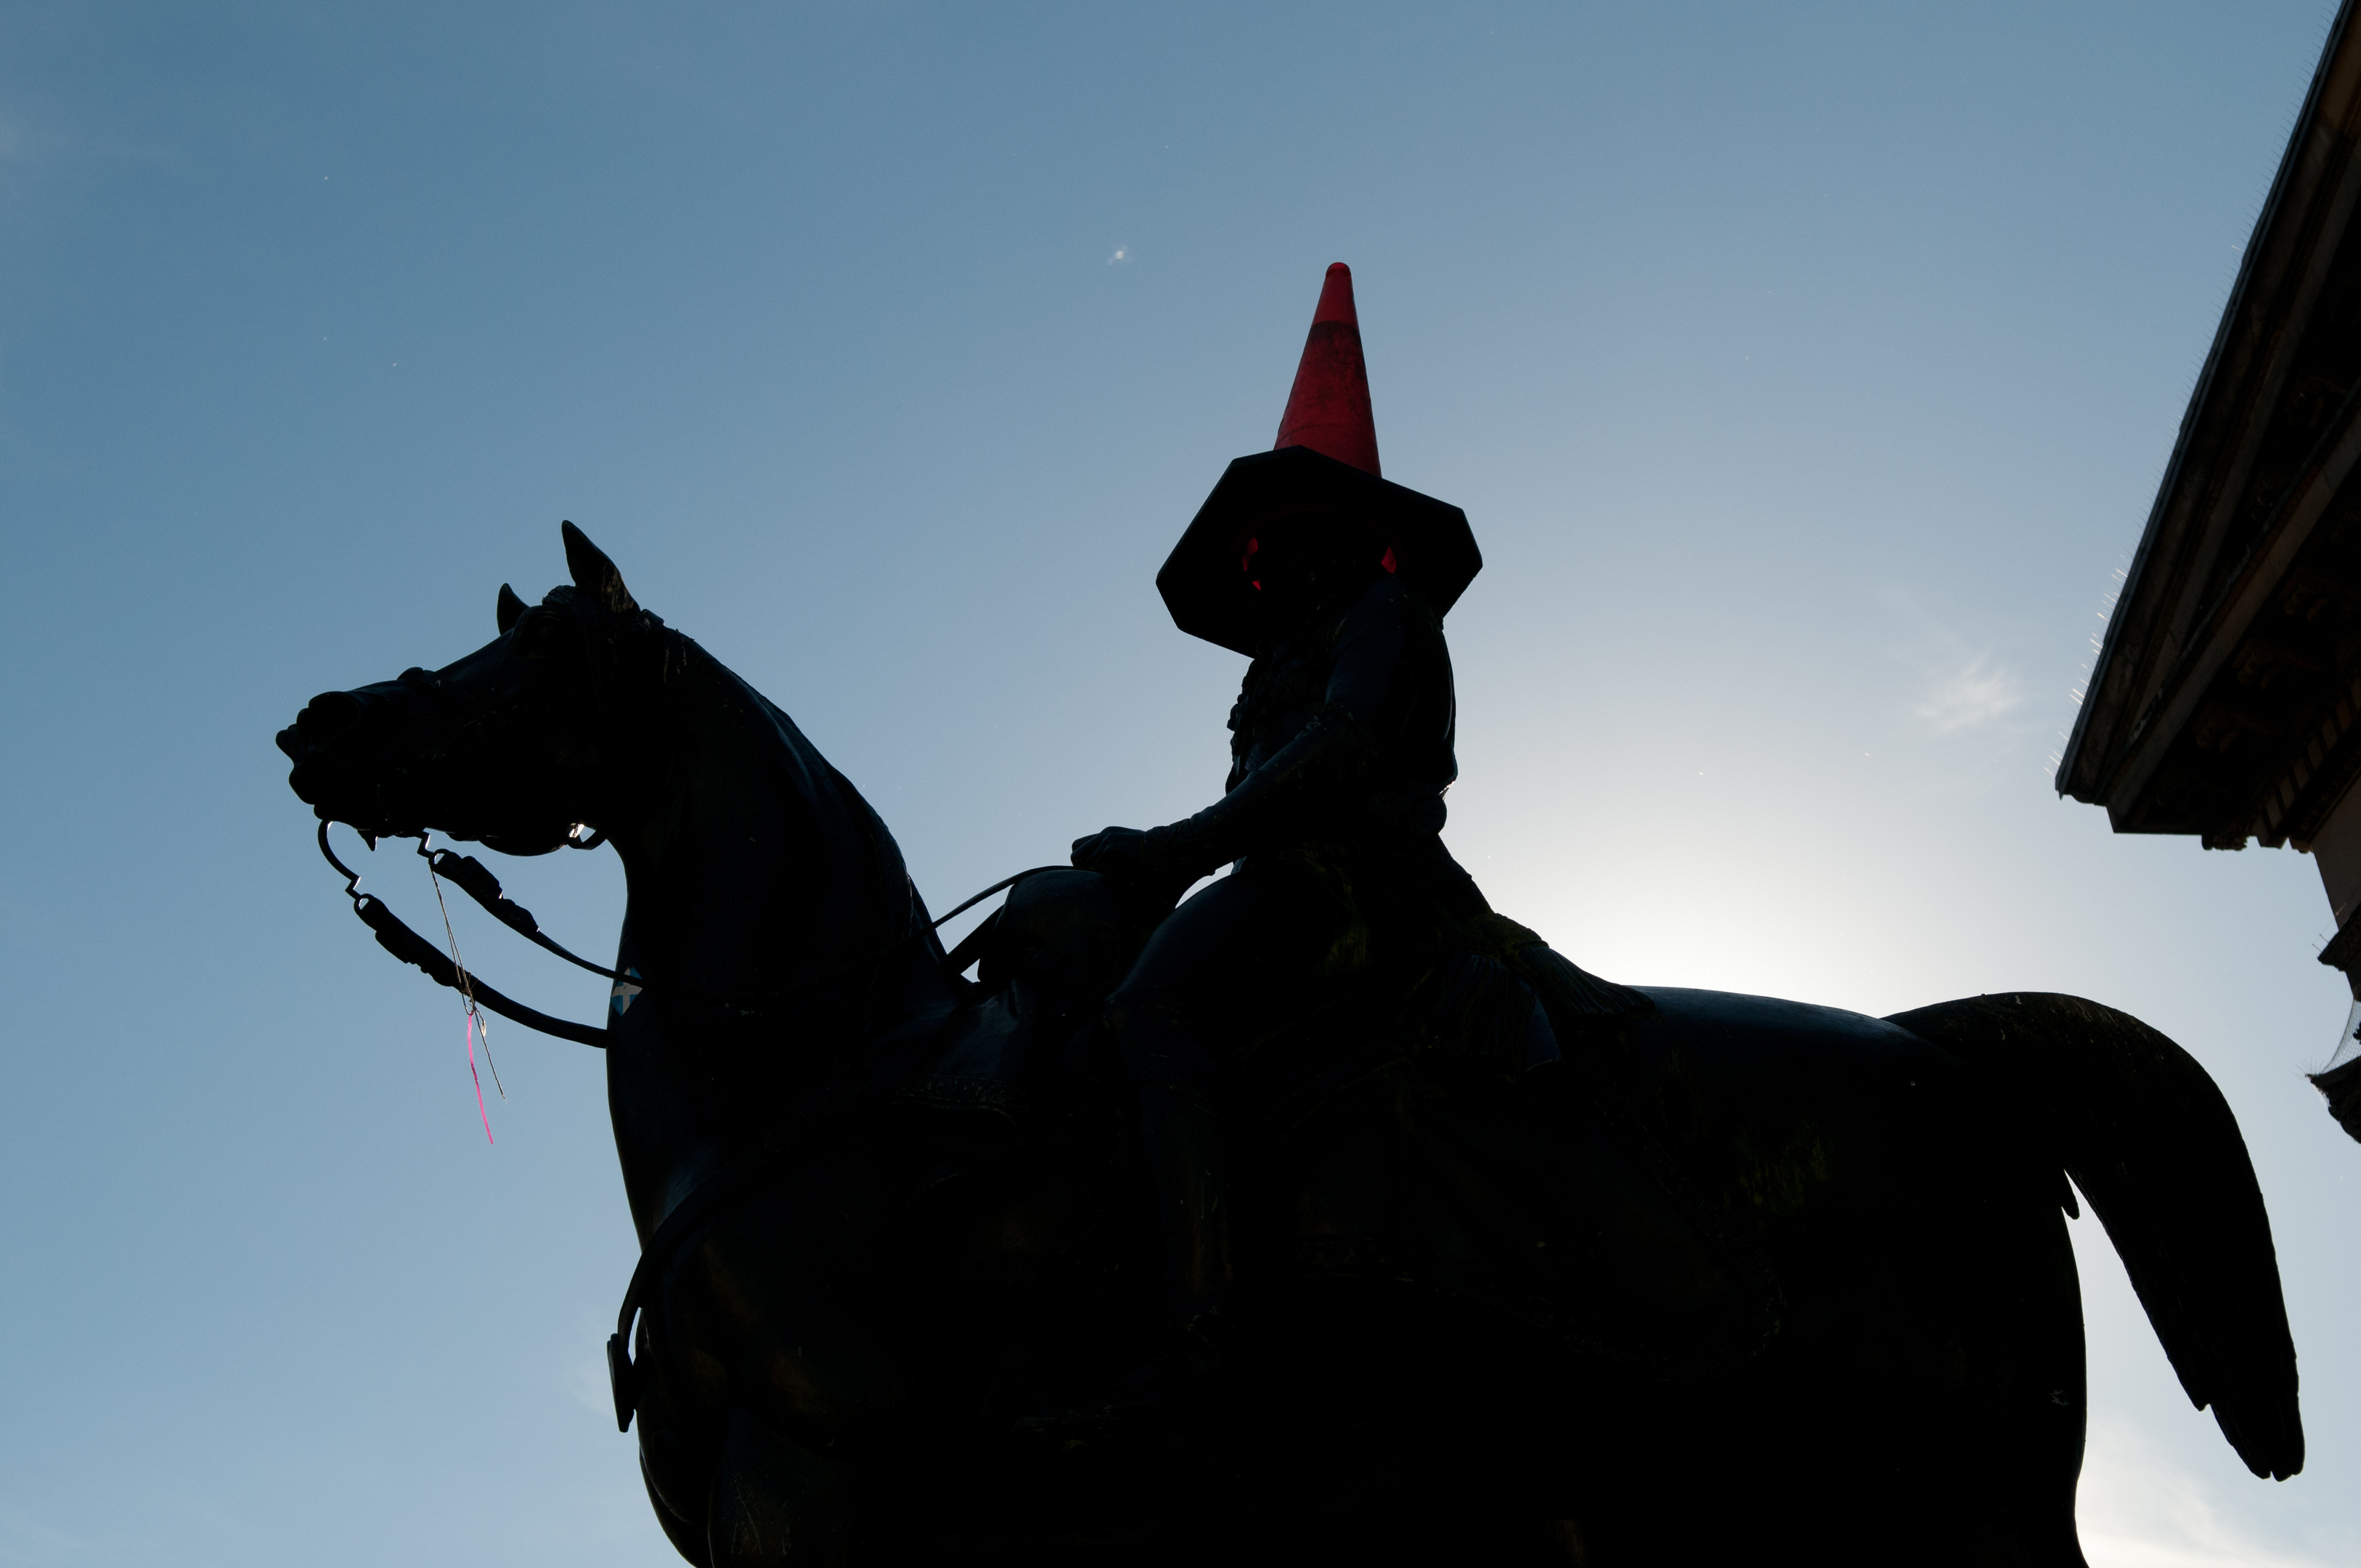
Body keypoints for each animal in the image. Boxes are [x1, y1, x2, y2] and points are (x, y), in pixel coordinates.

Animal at [271, 528, 2285, 1568]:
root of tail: (1949, 1060)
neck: (812, 1092)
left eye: (524, 661)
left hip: (1954, 1506)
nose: (320, 723)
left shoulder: (814, 1508)